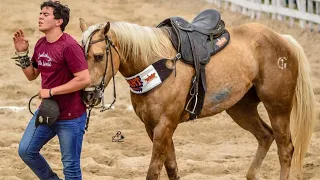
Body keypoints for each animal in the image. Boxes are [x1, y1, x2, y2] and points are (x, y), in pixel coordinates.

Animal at [79, 11, 316, 180]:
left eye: (98, 56)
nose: (87, 96)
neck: (157, 65)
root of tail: (282, 39)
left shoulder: (165, 126)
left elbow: (154, 171)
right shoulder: (153, 127)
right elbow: (172, 168)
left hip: (278, 108)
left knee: (285, 149)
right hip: (240, 109)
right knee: (266, 136)